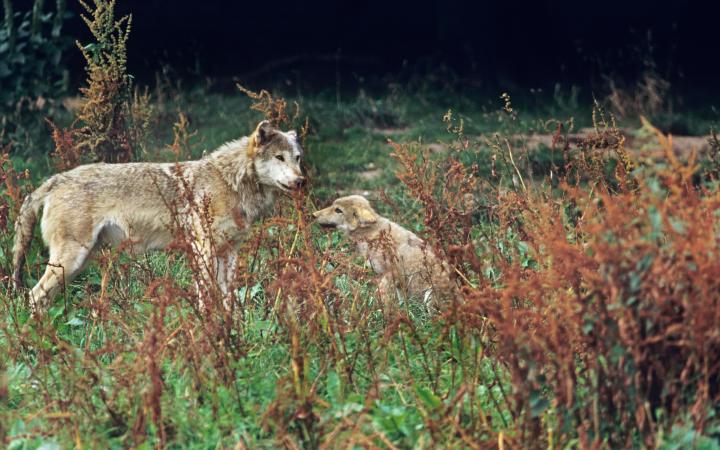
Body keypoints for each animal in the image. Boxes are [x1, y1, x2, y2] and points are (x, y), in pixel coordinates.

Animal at [12, 119, 304, 310]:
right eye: (279, 157)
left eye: (297, 158)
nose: (301, 181)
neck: (229, 181)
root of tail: (55, 179)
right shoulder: (203, 249)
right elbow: (205, 296)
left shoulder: (230, 252)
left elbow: (227, 298)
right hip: (71, 260)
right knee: (33, 296)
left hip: (76, 264)